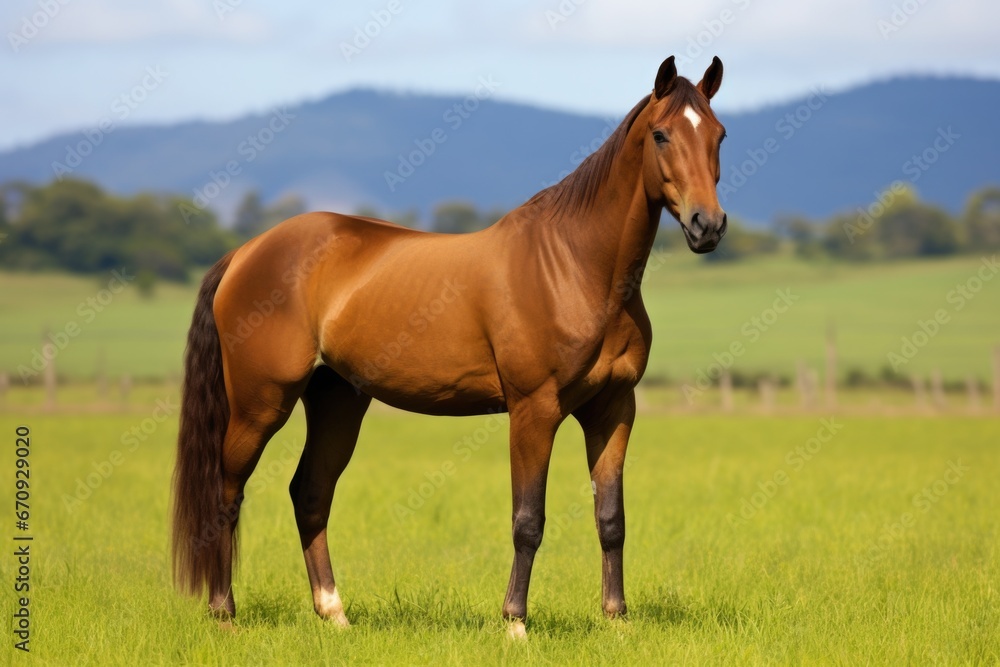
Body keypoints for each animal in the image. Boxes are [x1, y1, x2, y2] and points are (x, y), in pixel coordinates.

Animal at [174, 56, 728, 636]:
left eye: (718, 134)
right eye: (661, 134)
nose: (707, 225)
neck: (575, 268)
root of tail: (244, 253)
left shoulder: (614, 409)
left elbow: (611, 517)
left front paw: (617, 620)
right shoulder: (534, 411)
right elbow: (528, 520)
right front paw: (515, 624)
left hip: (336, 400)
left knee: (310, 493)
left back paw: (334, 612)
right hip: (260, 405)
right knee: (227, 493)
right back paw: (224, 614)